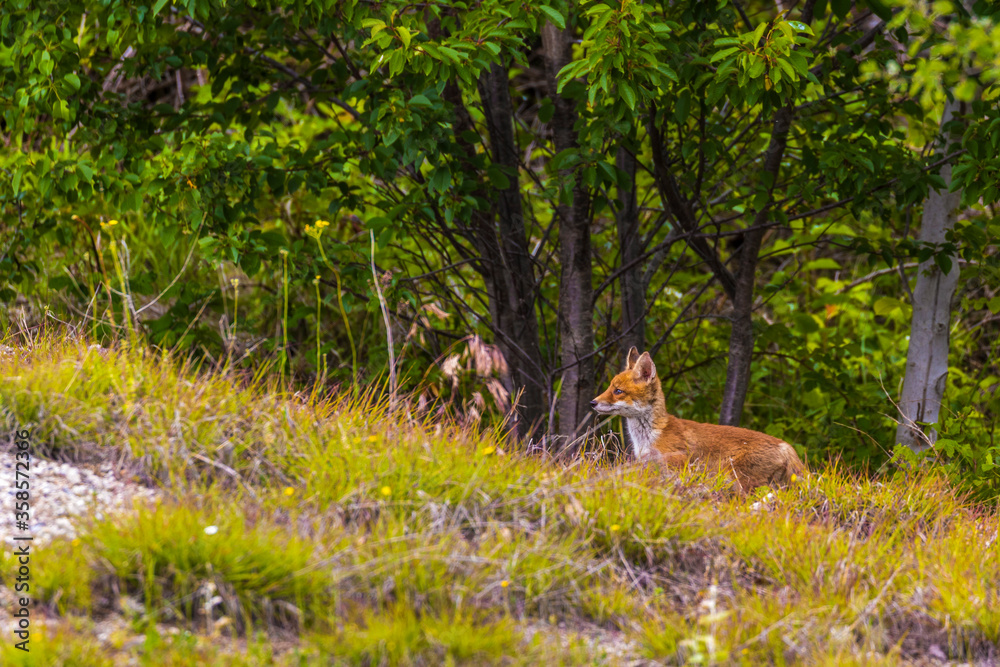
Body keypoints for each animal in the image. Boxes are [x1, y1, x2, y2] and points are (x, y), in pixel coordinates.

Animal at [591, 347, 805, 495]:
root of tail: (786, 445)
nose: (592, 402)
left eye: (618, 391)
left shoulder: (678, 461)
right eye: (610, 387)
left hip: (737, 480)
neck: (649, 436)